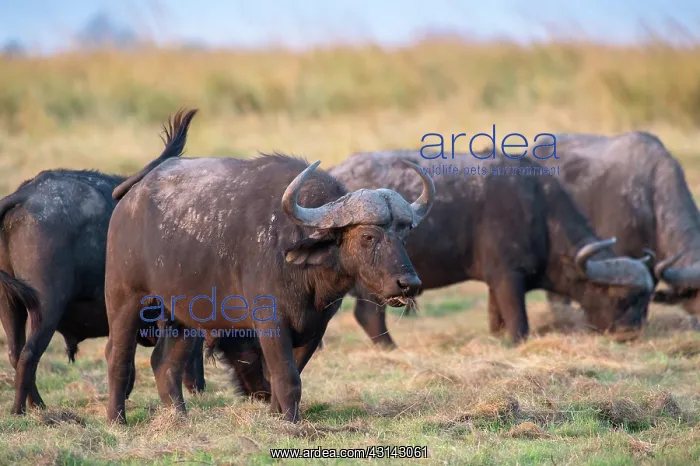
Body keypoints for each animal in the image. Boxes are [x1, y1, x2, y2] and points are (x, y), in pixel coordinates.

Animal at [0, 109, 205, 415]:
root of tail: (25, 194)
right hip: (47, 304)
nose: (200, 387)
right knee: (28, 355)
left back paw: (36, 407)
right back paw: (23, 410)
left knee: (15, 353)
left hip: (10, 303)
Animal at [103, 114, 436, 424]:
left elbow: (289, 373)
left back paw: (180, 418)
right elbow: (287, 376)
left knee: (164, 363)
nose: (408, 283)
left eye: (404, 234)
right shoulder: (270, 323)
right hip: (125, 299)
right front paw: (290, 422)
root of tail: (131, 197)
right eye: (368, 236)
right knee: (118, 357)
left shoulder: (316, 325)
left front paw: (277, 414)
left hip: (182, 315)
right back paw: (117, 419)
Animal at [328, 150, 655, 347]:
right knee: (369, 315)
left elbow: (496, 318)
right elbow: (519, 323)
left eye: (645, 302)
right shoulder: (508, 276)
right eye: (621, 298)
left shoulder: (495, 283)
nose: (630, 333)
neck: (541, 213)